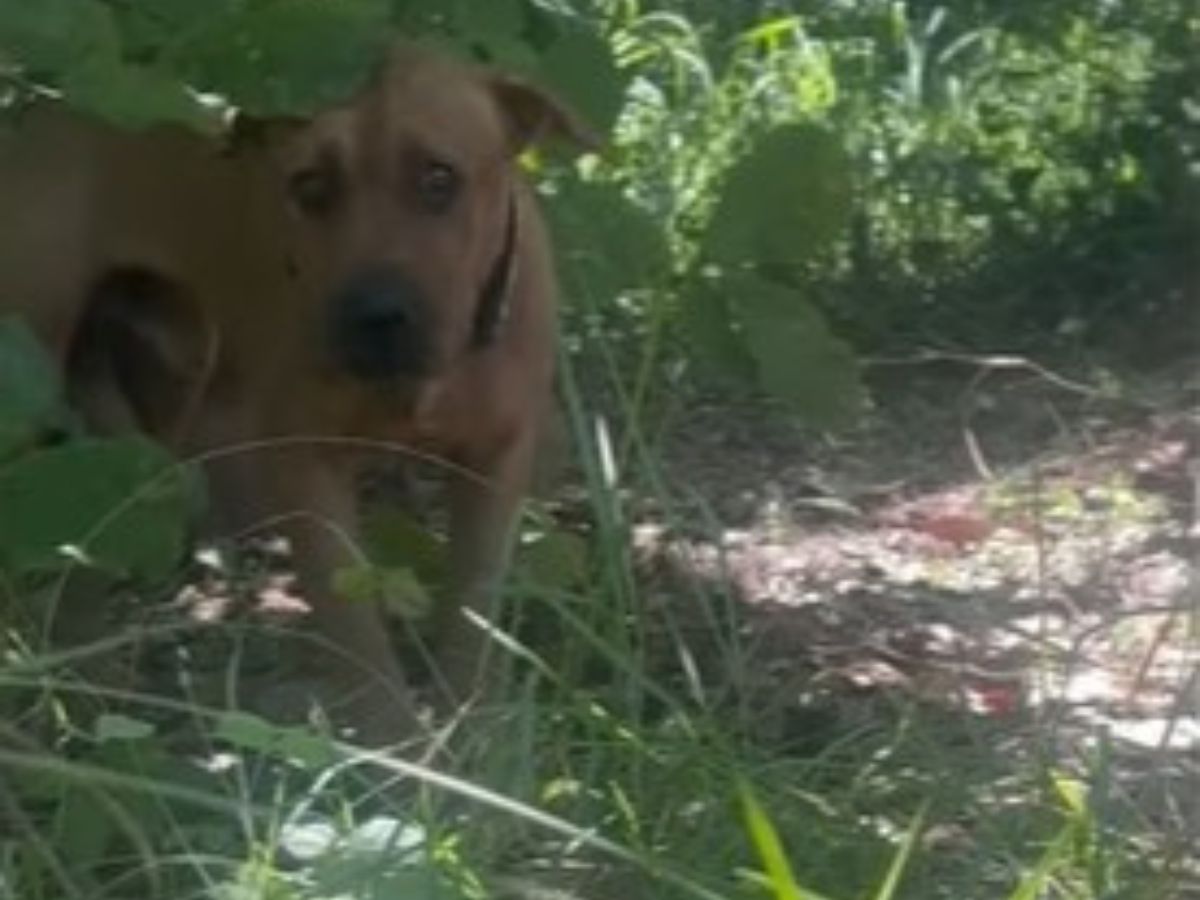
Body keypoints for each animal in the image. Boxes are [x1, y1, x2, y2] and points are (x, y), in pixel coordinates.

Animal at [0, 42, 590, 748]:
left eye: (438, 180)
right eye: (310, 187)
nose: (374, 313)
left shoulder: (496, 460)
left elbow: (473, 607)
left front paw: (475, 730)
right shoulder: (307, 464)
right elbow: (357, 629)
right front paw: (395, 749)